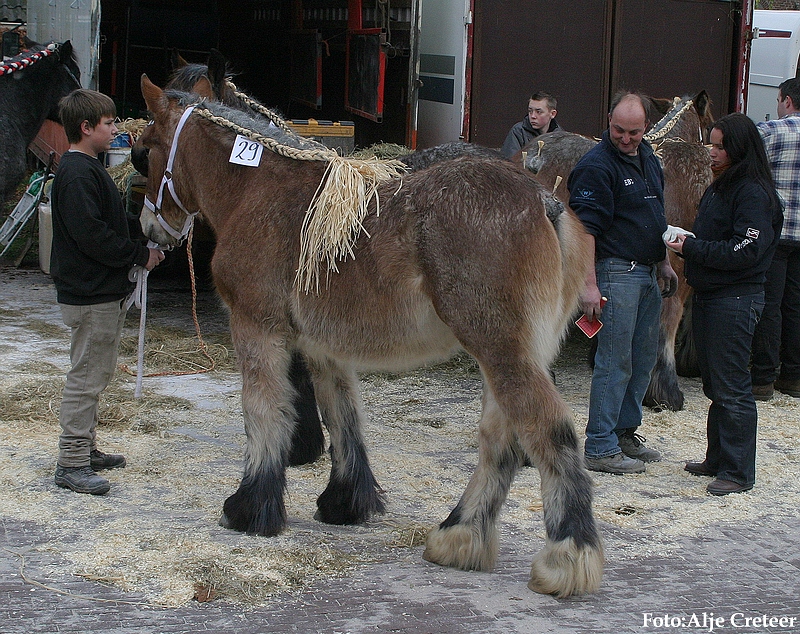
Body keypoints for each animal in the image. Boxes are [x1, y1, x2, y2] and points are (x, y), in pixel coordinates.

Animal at [138, 76, 604, 596]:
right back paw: (459, 535)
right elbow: (343, 419)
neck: (259, 191)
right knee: (500, 442)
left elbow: (263, 414)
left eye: (144, 151)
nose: (150, 229)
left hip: (502, 352)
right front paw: (346, 502)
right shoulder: (323, 350)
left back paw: (568, 554)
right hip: (510, 356)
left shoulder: (257, 328)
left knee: (548, 431)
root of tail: (546, 202)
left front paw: (250, 507)